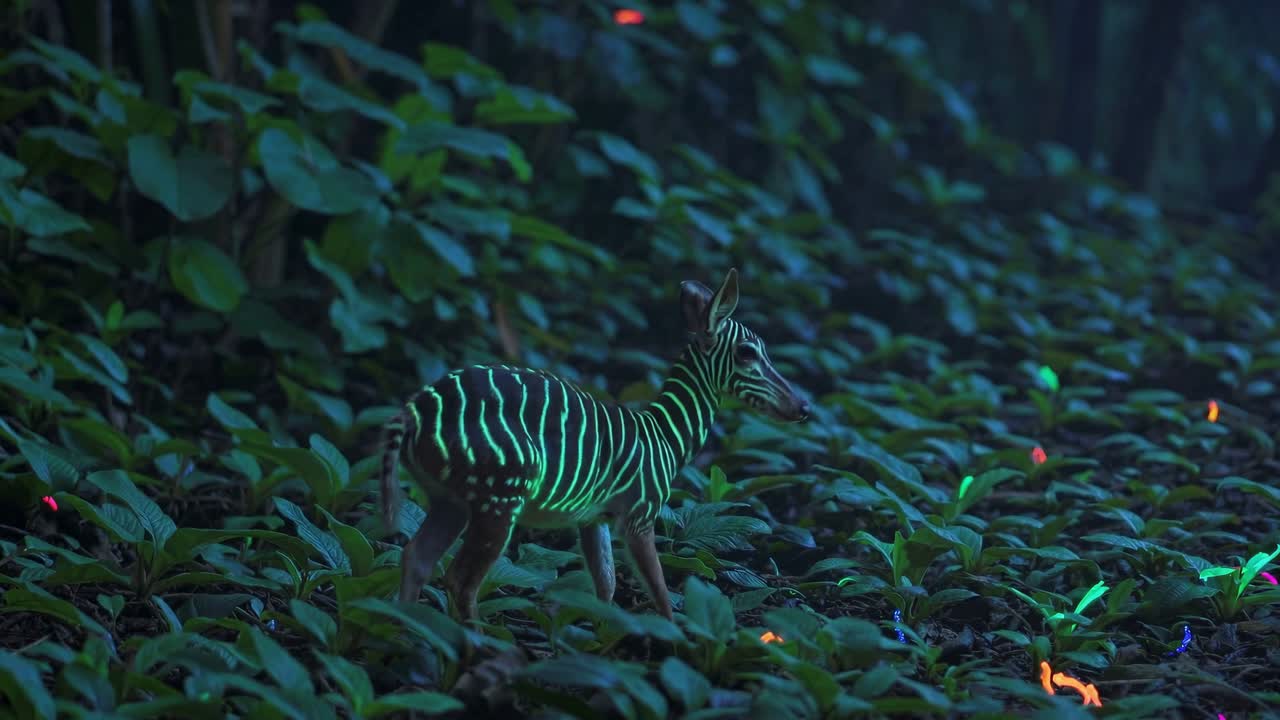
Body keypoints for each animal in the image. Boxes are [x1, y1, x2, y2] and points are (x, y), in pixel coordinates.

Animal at [379, 268, 810, 620]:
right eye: (747, 352)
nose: (803, 406)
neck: (665, 438)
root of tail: (414, 411)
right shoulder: (640, 511)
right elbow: (660, 594)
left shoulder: (592, 516)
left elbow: (607, 587)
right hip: (499, 492)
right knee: (459, 580)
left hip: (451, 497)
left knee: (415, 557)